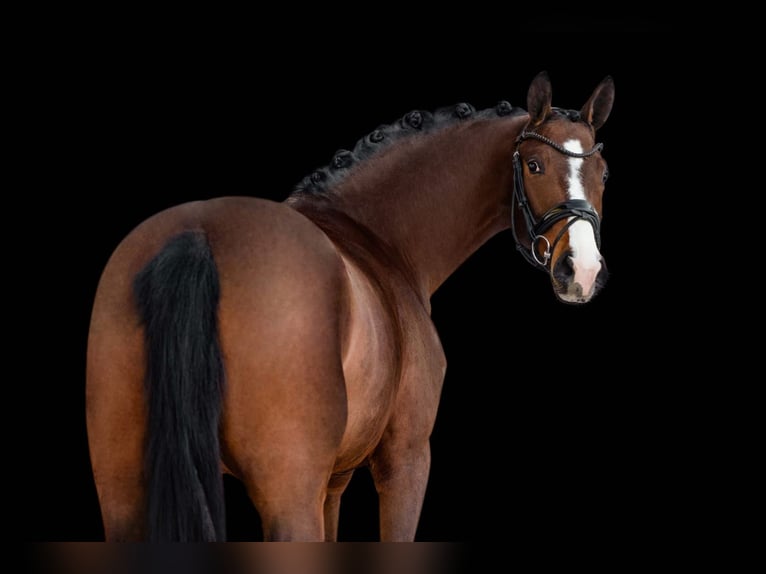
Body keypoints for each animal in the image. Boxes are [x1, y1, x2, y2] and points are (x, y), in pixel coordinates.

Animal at [85, 70, 615, 541]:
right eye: (534, 166)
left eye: (603, 173)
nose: (582, 270)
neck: (375, 237)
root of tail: (200, 234)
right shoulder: (404, 459)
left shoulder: (334, 482)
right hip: (289, 495)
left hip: (123, 493)